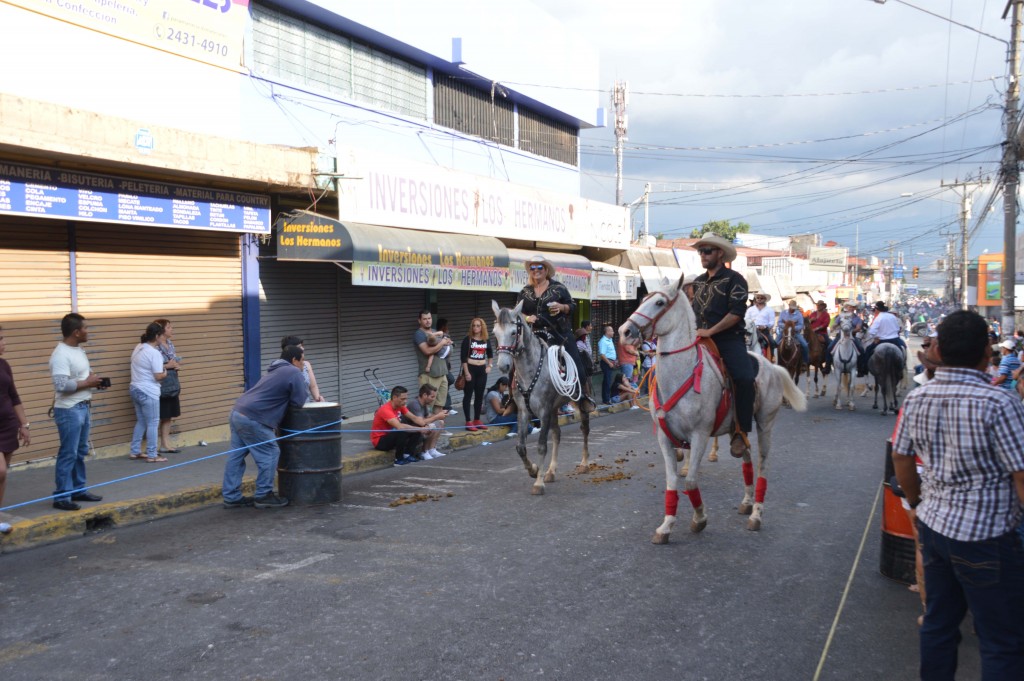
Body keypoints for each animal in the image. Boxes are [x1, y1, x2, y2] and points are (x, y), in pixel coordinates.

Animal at [493, 299, 593, 493]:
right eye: (495, 333)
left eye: (513, 332)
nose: (503, 365)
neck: (530, 370)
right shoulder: (524, 411)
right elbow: (520, 447)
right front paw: (533, 470)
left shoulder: (544, 410)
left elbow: (541, 446)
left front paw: (538, 483)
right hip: (554, 408)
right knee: (557, 434)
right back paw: (551, 471)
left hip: (577, 401)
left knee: (584, 429)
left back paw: (584, 464)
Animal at [614, 276, 806, 540]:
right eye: (643, 299)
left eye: (660, 302)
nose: (624, 332)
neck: (681, 373)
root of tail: (772, 366)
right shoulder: (664, 437)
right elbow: (672, 481)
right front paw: (666, 525)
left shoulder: (700, 435)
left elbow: (690, 481)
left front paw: (699, 518)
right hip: (738, 428)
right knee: (746, 458)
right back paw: (747, 503)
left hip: (765, 424)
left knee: (762, 464)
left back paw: (756, 514)